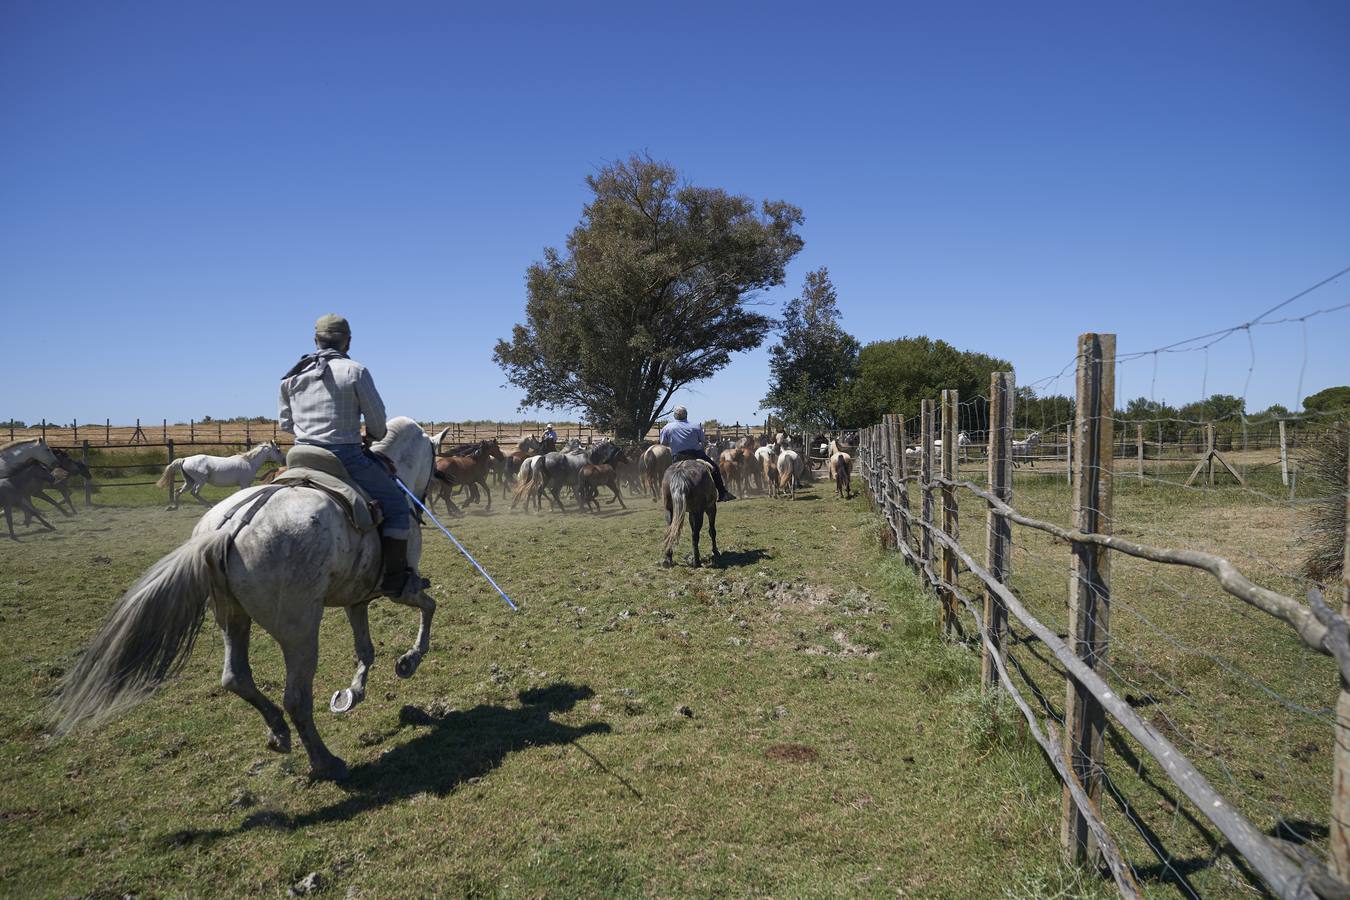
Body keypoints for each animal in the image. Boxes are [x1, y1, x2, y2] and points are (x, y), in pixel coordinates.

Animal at [155, 442, 284, 510]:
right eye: (278, 450)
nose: (283, 461)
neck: (249, 462)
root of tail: (185, 459)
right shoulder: (245, 483)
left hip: (189, 481)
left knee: (178, 491)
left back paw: (174, 507)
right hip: (200, 480)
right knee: (194, 492)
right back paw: (210, 506)